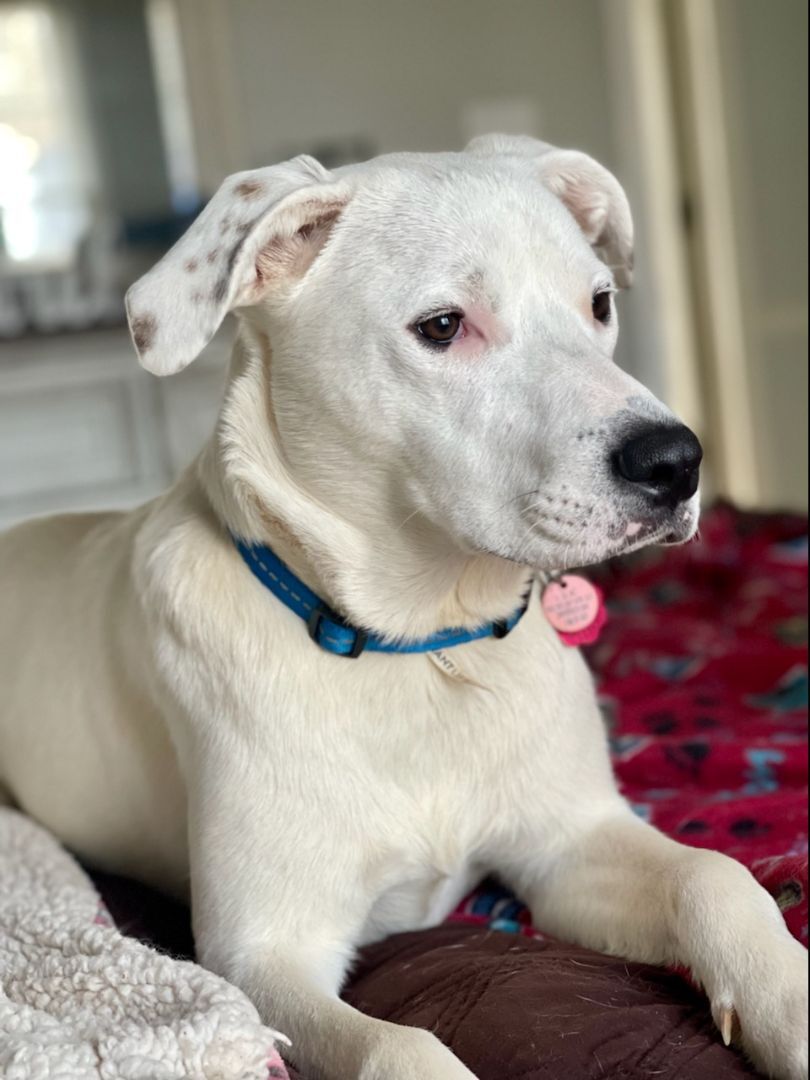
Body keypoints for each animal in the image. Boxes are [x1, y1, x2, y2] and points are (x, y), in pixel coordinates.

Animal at [0, 137, 807, 1080]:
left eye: (599, 302)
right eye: (444, 327)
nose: (676, 462)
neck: (422, 648)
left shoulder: (568, 847)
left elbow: (714, 876)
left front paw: (788, 998)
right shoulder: (261, 957)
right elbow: (401, 1048)